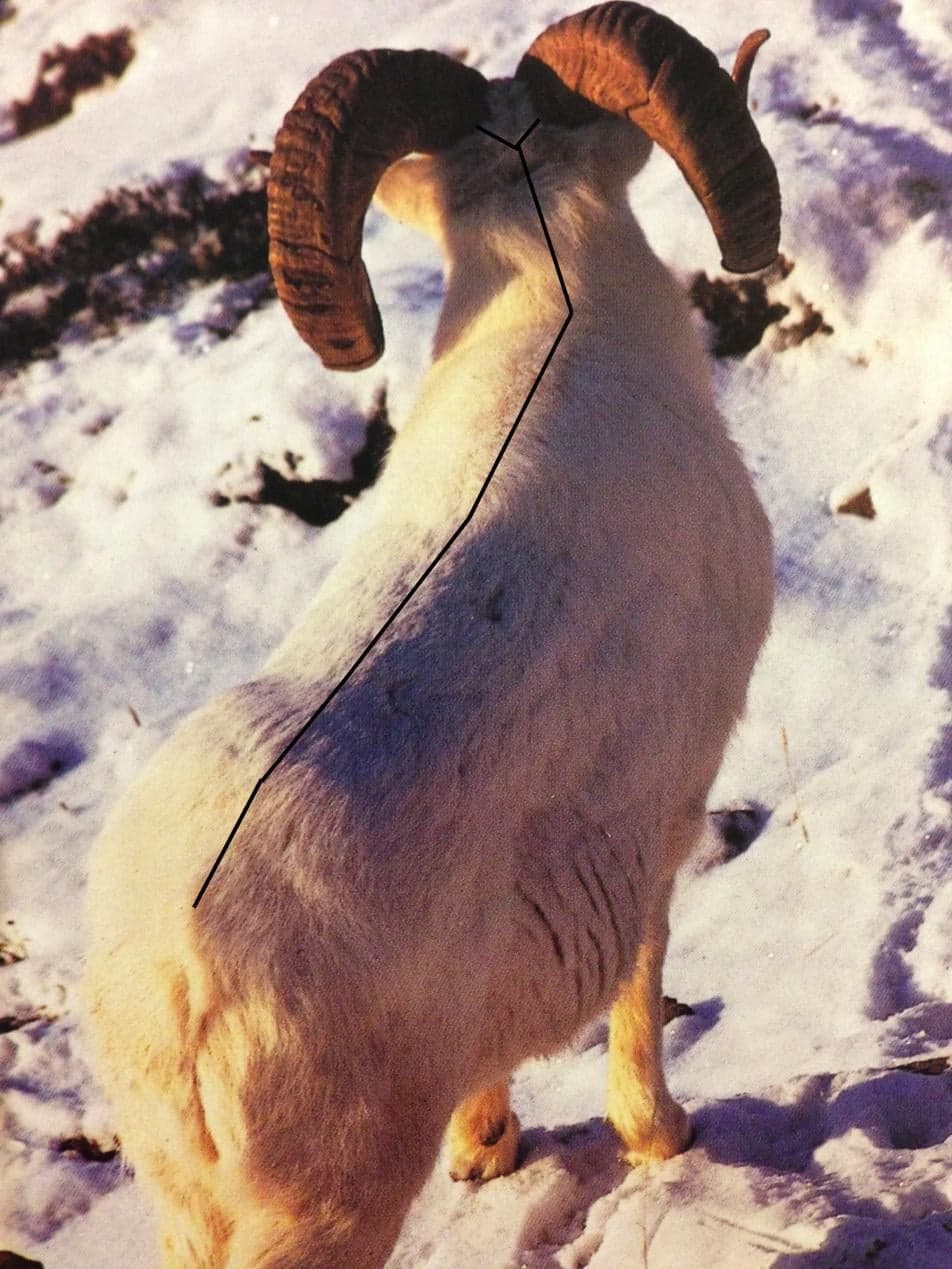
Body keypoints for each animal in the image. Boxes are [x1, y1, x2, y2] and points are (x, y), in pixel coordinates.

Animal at [83, 4, 780, 1266]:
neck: (556, 330)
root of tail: (174, 986)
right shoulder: (666, 807)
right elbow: (642, 975)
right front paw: (661, 1136)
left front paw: (487, 1149)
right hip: (322, 1213)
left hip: (186, 1210)